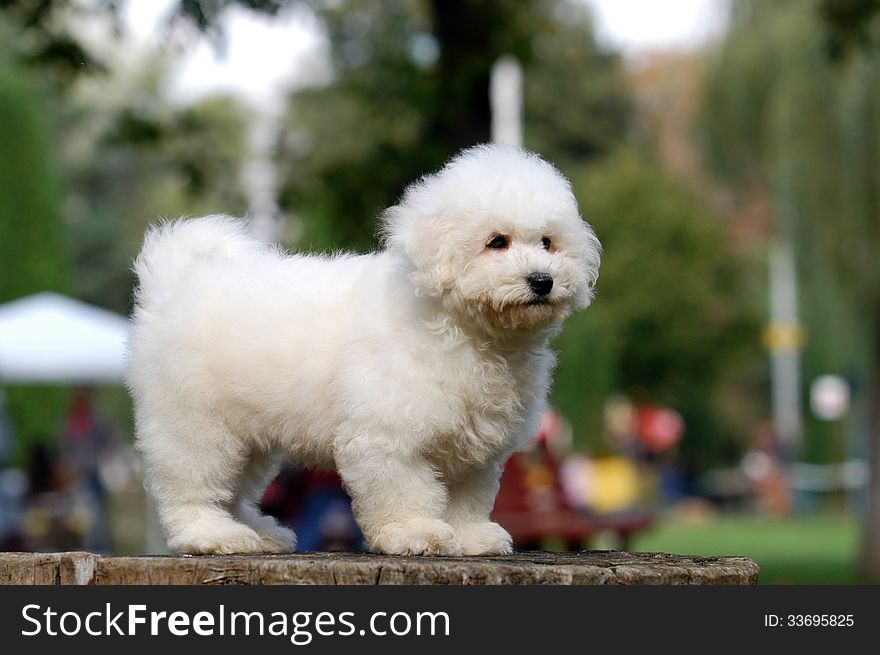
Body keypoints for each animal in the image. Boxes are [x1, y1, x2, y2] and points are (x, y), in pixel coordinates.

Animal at [127, 146, 600, 556]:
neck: (461, 330)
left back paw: (258, 532)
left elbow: (468, 495)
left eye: (548, 243)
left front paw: (470, 537)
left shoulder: (476, 448)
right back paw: (211, 535)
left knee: (236, 488)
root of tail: (176, 281)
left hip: (249, 434)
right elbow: (403, 489)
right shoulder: (389, 436)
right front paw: (415, 533)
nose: (542, 280)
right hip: (196, 422)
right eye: (497, 241)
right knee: (193, 485)